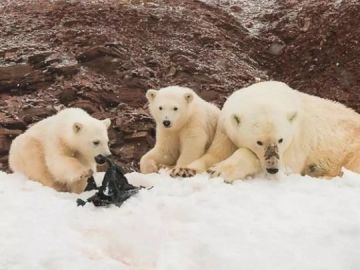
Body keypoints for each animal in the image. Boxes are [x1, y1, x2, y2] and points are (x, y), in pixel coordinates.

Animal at [170, 80, 360, 181]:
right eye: (259, 141)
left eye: (281, 140)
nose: (273, 169)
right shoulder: (225, 129)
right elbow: (215, 153)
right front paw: (184, 170)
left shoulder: (296, 139)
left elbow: (284, 163)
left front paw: (219, 170)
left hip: (352, 145)